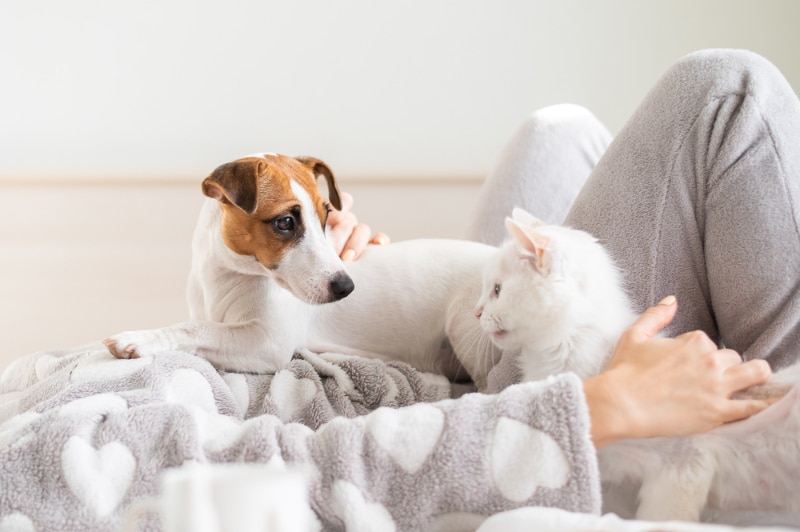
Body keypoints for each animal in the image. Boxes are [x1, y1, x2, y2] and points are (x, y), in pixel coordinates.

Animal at [102, 153, 496, 382]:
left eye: (326, 216)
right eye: (285, 222)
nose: (346, 287)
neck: (228, 276)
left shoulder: (267, 342)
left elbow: (197, 329)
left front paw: (139, 339)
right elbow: (200, 324)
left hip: (464, 326)